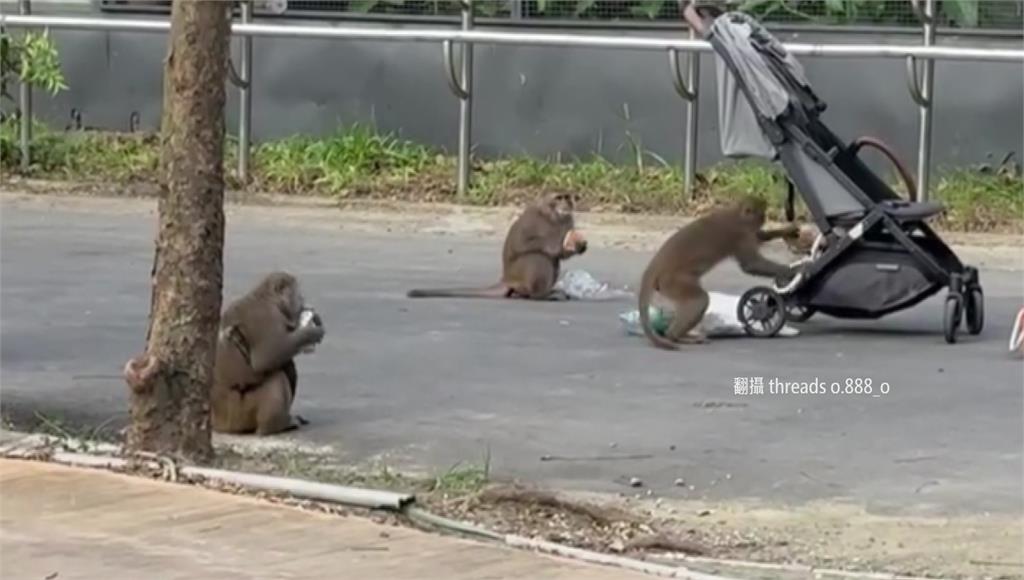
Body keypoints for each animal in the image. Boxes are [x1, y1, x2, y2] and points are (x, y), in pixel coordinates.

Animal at [214, 272, 325, 436]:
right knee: (277, 376)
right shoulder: (267, 317)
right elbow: (267, 358)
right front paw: (311, 332)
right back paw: (275, 426)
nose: (303, 299)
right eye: (298, 294)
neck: (266, 298)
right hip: (239, 412)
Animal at [405, 193, 589, 303]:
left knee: (552, 261)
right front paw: (562, 243)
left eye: (568, 196)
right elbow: (524, 244)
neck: (555, 217)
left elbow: (561, 254)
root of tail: (506, 278)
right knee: (538, 257)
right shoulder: (535, 219)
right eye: (559, 197)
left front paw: (578, 246)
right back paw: (541, 295)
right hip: (518, 274)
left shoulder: (567, 222)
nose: (568, 202)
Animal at [638, 195, 798, 352]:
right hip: (672, 281)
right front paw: (792, 271)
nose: (764, 218)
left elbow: (759, 236)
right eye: (761, 214)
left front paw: (786, 231)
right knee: (700, 300)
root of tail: (656, 264)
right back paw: (675, 336)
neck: (736, 214)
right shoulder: (740, 235)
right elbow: (751, 264)